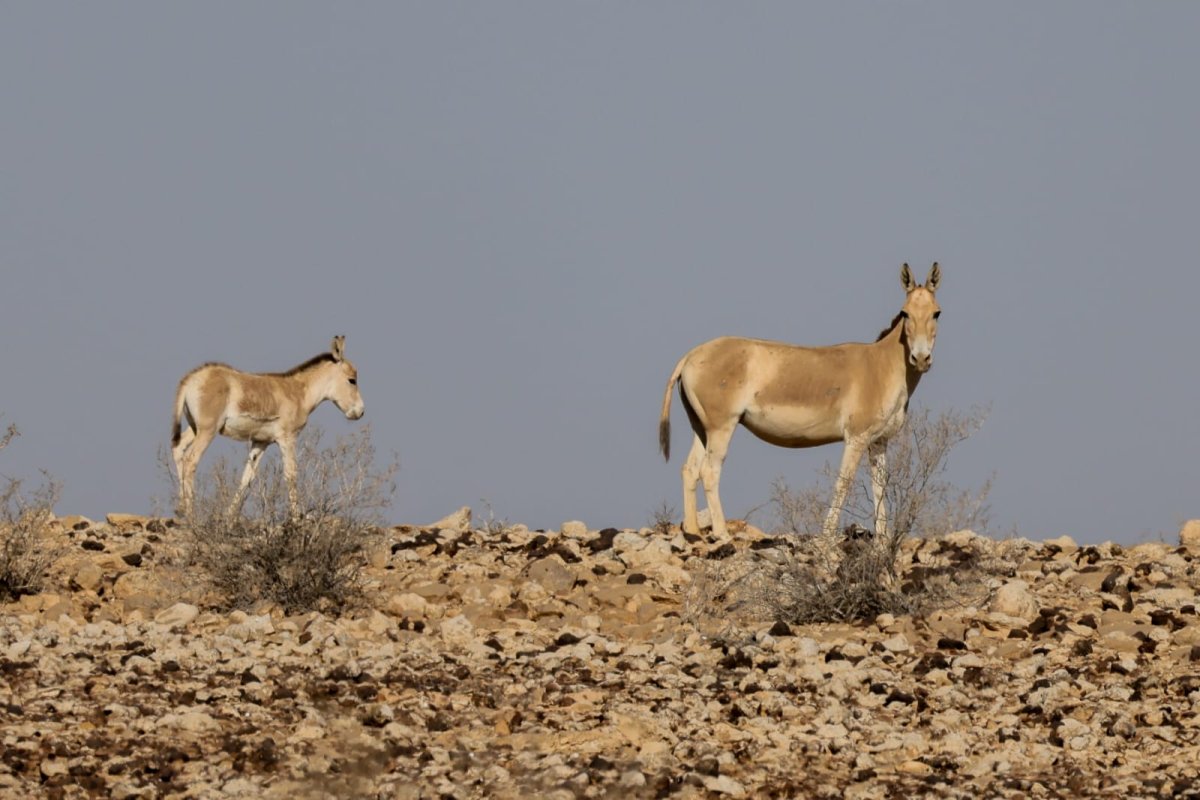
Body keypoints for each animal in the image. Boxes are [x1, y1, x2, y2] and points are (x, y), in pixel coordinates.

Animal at [171, 335, 362, 515]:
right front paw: (296, 518)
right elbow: (291, 474)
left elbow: (247, 478)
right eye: (352, 380)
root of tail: (190, 379)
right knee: (190, 460)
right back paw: (191, 515)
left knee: (178, 448)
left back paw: (181, 508)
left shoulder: (261, 442)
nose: (360, 412)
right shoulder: (287, 438)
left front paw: (229, 517)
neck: (299, 393)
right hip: (208, 430)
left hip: (195, 427)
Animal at [662, 266, 940, 542]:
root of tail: (690, 356)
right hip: (722, 427)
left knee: (690, 470)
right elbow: (843, 482)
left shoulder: (879, 441)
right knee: (709, 472)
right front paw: (827, 535)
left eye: (937, 312)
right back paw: (721, 533)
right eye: (905, 313)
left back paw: (693, 532)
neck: (882, 366)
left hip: (702, 428)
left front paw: (882, 542)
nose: (921, 359)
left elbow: (880, 486)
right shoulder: (856, 438)